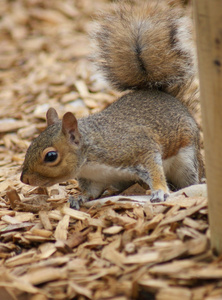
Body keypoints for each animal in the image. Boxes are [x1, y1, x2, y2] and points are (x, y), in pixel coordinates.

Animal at [20, 1, 205, 204]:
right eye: (31, 143)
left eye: (51, 156)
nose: (24, 179)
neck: (90, 159)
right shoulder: (95, 178)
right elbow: (92, 191)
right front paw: (80, 197)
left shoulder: (137, 148)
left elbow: (154, 168)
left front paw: (159, 190)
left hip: (187, 161)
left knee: (189, 177)